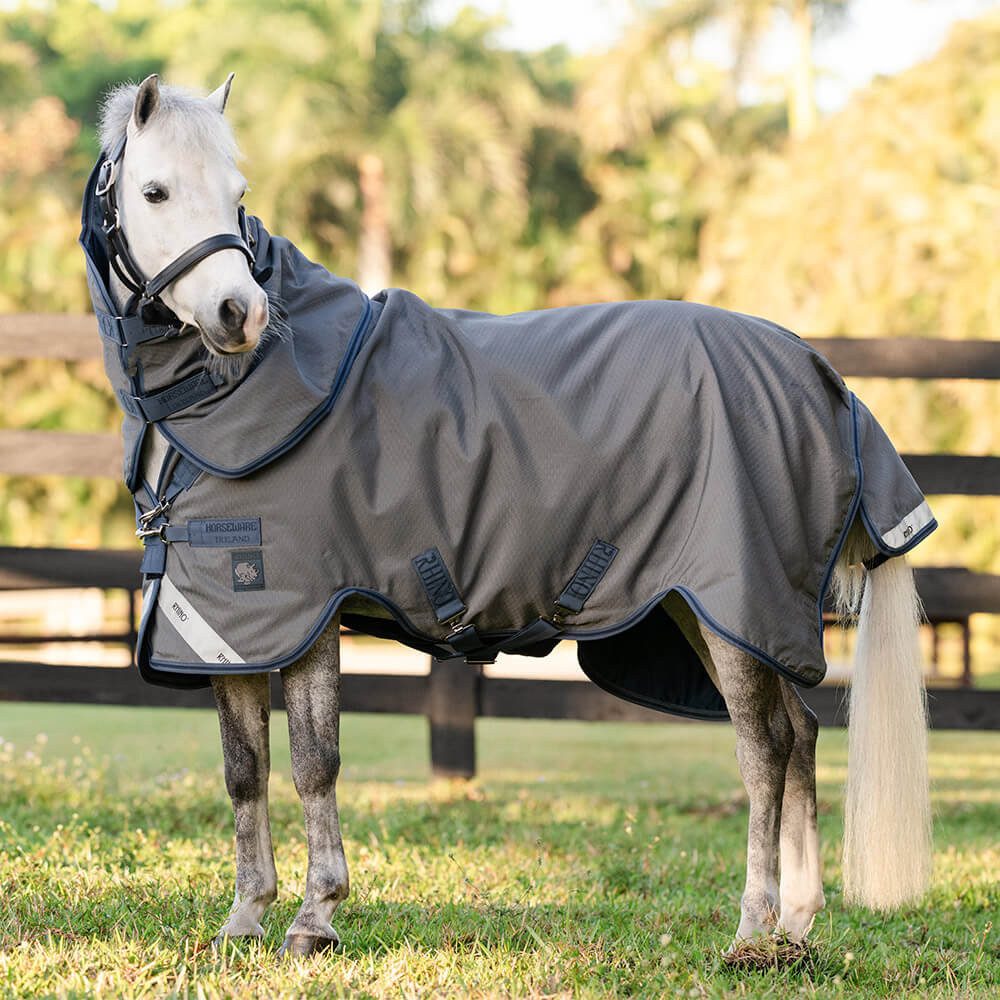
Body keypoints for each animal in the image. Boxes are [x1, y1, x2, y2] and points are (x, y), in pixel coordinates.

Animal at [82, 74, 932, 958]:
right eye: (155, 191)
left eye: (237, 194)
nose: (238, 314)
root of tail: (818, 373)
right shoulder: (229, 626)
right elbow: (244, 770)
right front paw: (245, 917)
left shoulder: (303, 614)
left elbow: (316, 763)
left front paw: (315, 917)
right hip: (716, 612)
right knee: (798, 734)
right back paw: (794, 925)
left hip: (735, 604)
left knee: (763, 750)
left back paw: (751, 927)